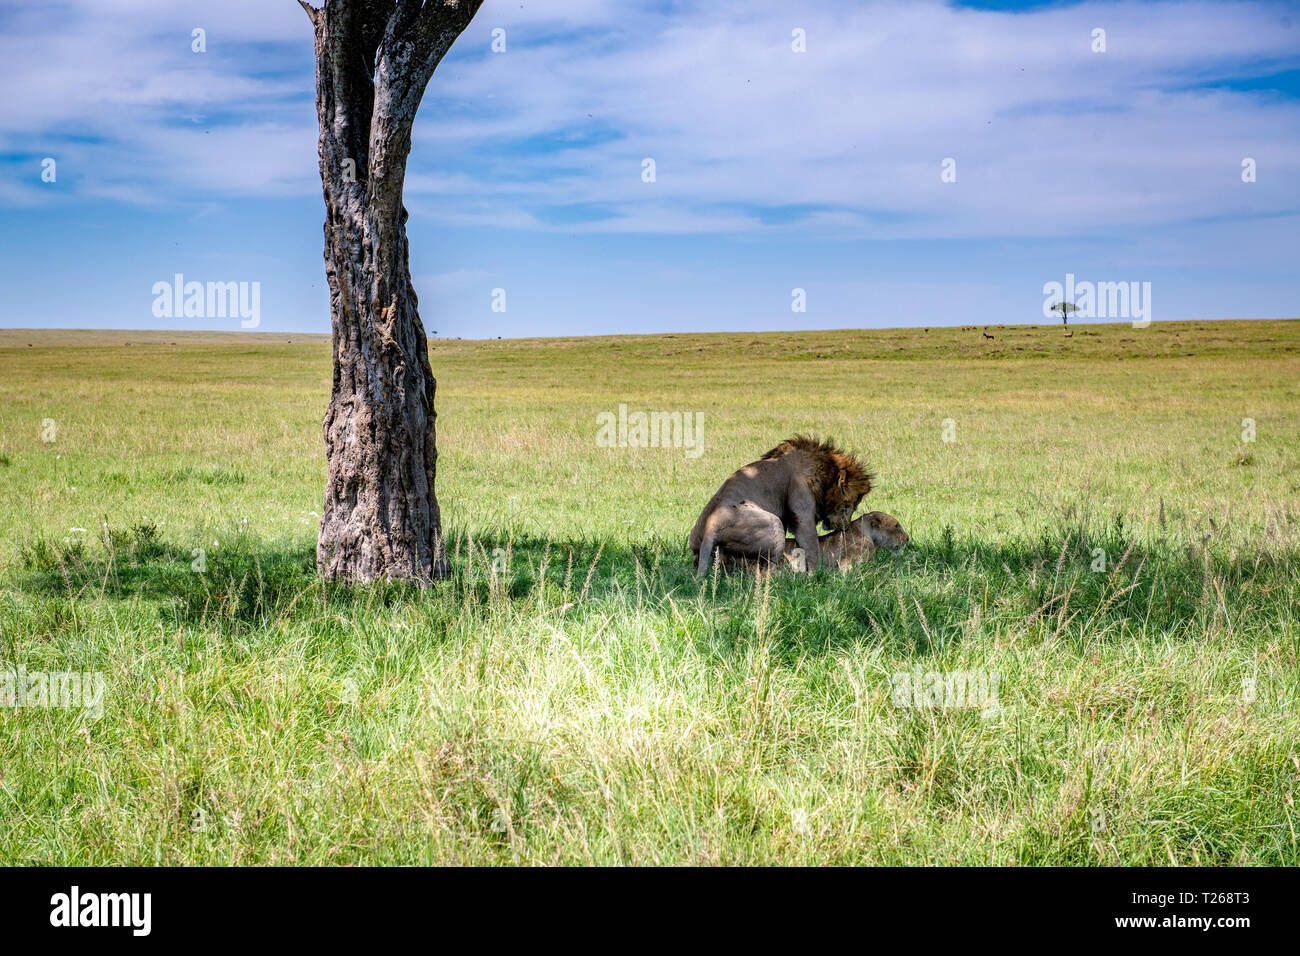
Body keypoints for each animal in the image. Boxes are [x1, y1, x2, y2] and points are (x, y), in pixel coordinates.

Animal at [689, 435, 873, 575]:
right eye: (847, 505)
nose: (845, 526)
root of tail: (711, 525)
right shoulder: (802, 512)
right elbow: (812, 546)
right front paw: (817, 574)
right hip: (773, 524)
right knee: (767, 570)